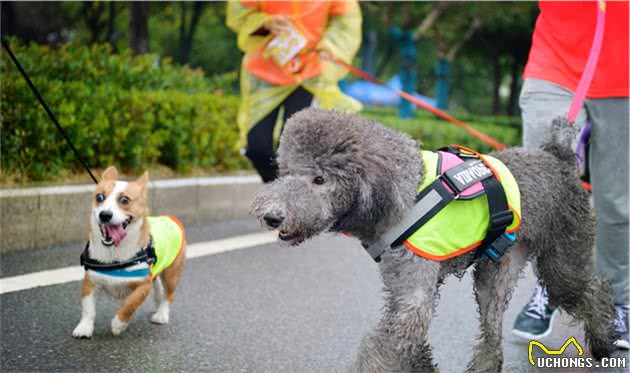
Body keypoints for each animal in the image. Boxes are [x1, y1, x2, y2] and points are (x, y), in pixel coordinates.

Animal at [73, 166, 185, 338]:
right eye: (99, 197)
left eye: (125, 200)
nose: (104, 215)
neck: (114, 252)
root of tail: (170, 218)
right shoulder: (91, 281)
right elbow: (88, 309)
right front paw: (84, 327)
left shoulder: (143, 285)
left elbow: (130, 304)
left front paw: (119, 324)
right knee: (159, 289)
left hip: (172, 275)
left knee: (168, 295)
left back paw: (161, 314)